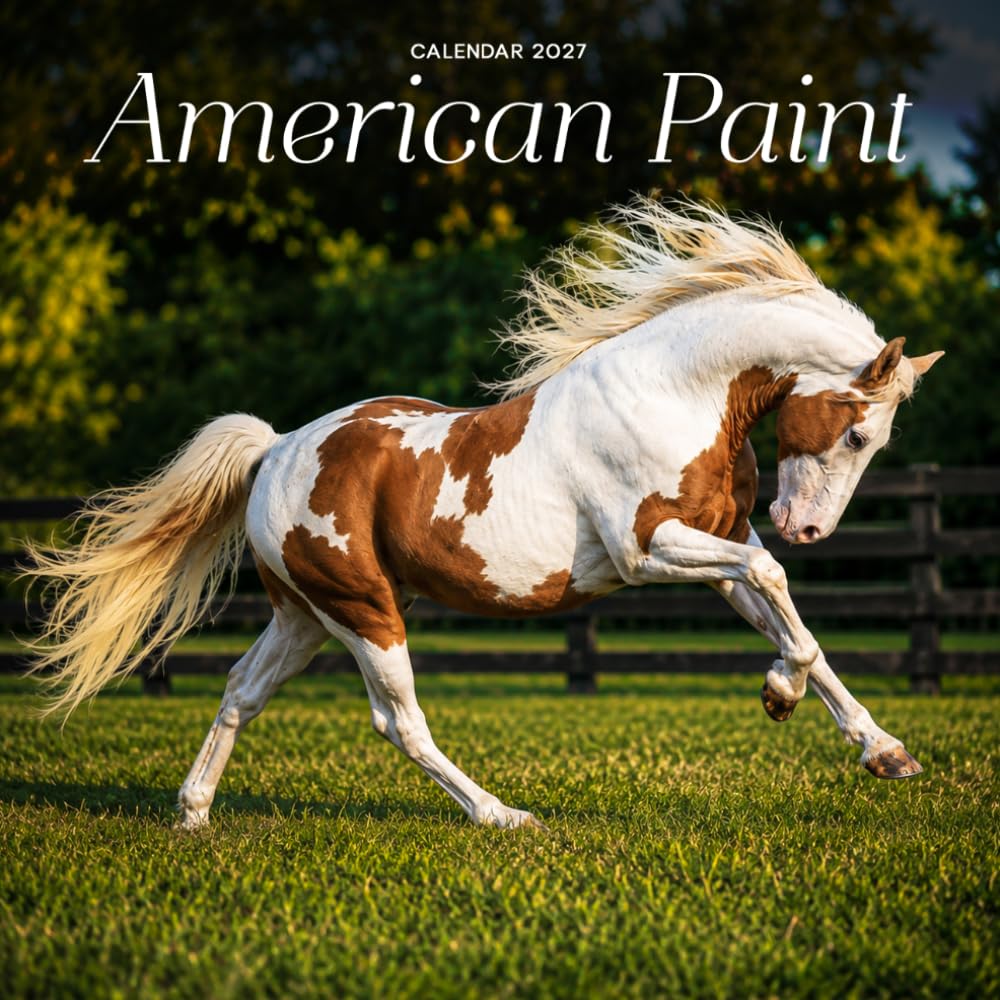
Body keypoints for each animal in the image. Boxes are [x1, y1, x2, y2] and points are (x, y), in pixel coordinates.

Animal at [24, 199, 944, 831]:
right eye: (858, 431)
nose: (810, 529)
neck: (678, 393)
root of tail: (279, 448)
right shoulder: (649, 551)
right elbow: (779, 587)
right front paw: (779, 695)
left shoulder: (719, 540)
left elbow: (795, 620)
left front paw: (885, 751)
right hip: (365, 612)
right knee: (397, 721)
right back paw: (501, 815)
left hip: (304, 616)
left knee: (242, 690)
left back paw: (193, 813)